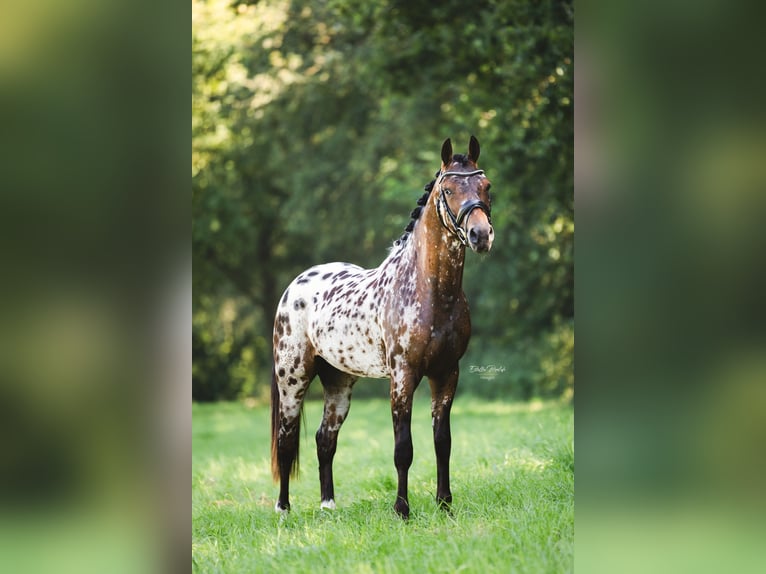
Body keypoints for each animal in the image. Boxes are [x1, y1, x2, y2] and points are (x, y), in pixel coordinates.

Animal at [272, 137, 496, 520]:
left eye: (486, 186)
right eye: (448, 189)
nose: (481, 235)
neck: (427, 291)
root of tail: (296, 285)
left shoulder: (447, 373)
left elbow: (443, 442)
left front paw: (444, 504)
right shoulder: (403, 376)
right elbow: (403, 448)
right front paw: (402, 510)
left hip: (339, 382)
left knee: (324, 438)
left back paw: (328, 506)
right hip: (293, 377)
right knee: (286, 440)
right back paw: (283, 509)